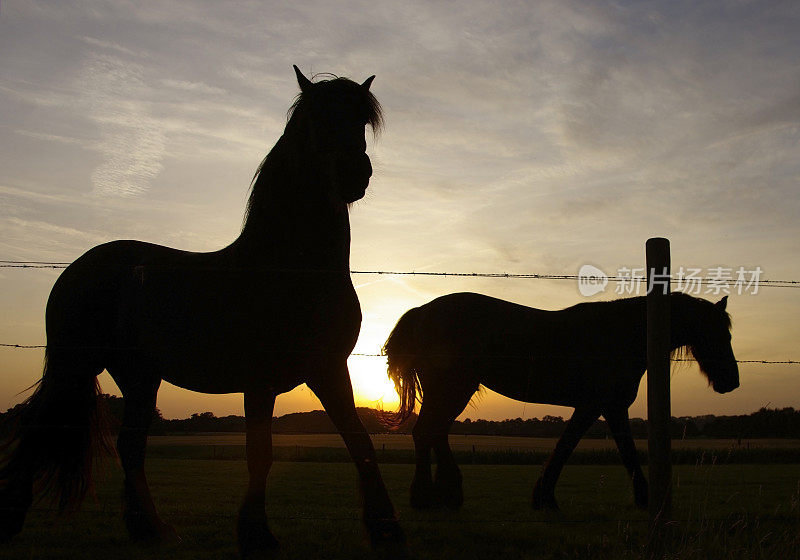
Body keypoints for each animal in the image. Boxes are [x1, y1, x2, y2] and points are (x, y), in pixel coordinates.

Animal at [0, 66, 404, 556]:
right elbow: (260, 452)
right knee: (41, 426)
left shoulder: (327, 368)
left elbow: (359, 441)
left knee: (129, 446)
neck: (287, 267)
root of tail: (78, 267)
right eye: (313, 120)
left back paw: (151, 529)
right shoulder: (262, 379)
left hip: (138, 376)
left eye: (360, 120)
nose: (352, 173)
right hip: (73, 364)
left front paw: (386, 530)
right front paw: (257, 535)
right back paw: (11, 521)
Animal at [384, 294, 740, 512]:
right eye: (718, 333)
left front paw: (544, 496)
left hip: (451, 389)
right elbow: (587, 448)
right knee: (427, 432)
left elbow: (577, 446)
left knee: (434, 433)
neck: (621, 334)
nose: (732, 382)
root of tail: (420, 312)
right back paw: (426, 496)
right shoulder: (600, 406)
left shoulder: (601, 407)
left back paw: (443, 495)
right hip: (453, 387)